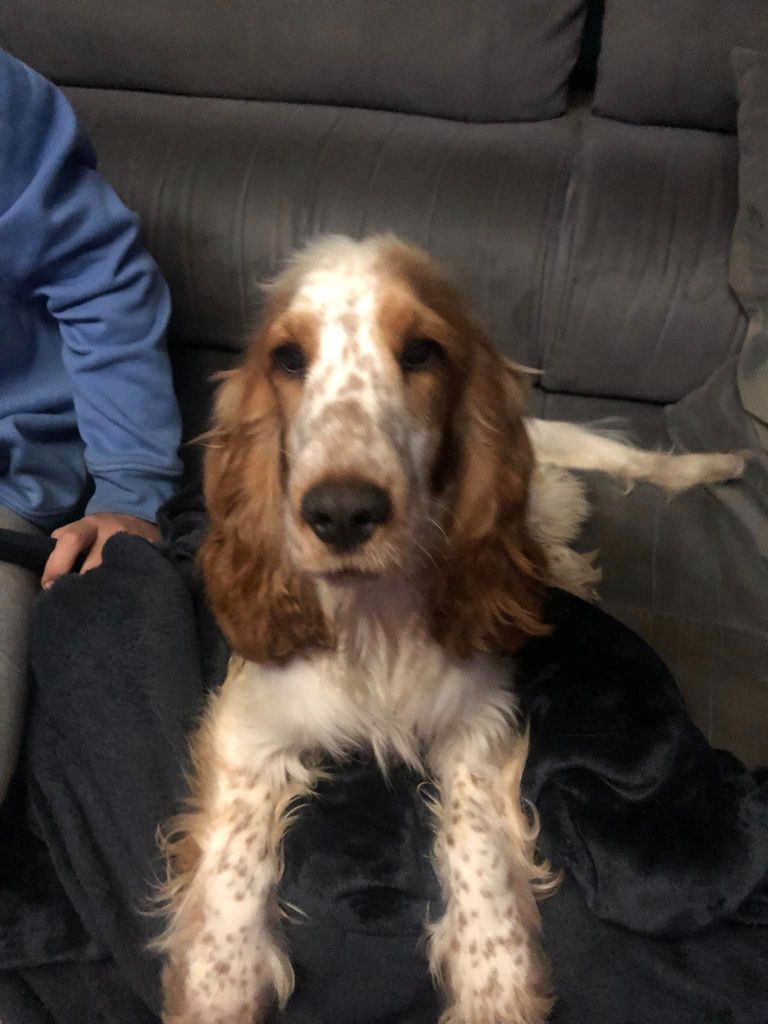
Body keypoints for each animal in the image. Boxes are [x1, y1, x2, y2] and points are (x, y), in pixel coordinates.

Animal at [155, 234, 744, 1024]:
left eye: (420, 351)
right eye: (287, 358)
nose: (342, 512)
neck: (373, 618)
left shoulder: (477, 719)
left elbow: (478, 844)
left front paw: (496, 981)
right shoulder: (255, 721)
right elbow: (235, 862)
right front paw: (219, 985)